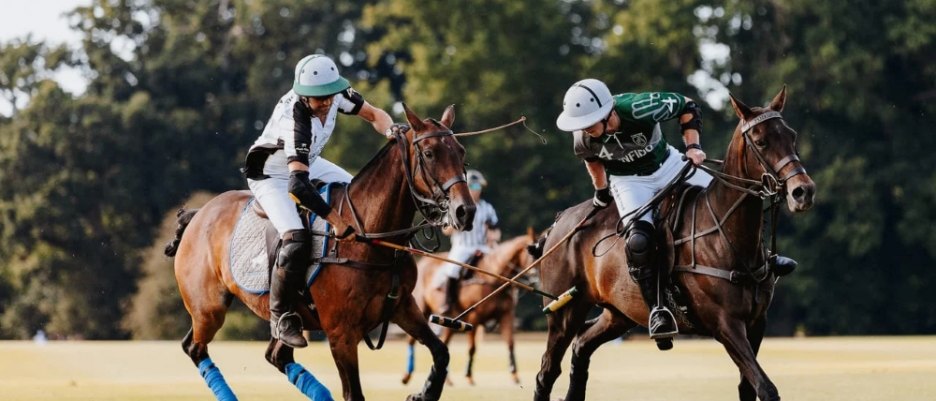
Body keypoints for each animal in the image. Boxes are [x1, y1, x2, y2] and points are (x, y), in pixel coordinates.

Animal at [165, 104, 476, 400]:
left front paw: (423, 393)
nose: (465, 211)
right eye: (430, 153)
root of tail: (198, 214)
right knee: (195, 348)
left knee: (275, 355)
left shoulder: (403, 306)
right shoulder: (341, 333)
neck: (370, 237)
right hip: (208, 308)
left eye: (461, 151)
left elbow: (441, 352)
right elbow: (354, 394)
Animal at [398, 231, 536, 384]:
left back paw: (447, 379)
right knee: (411, 340)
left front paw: (514, 375)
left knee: (445, 342)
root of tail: (422, 262)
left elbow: (510, 343)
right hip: (422, 306)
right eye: (531, 252)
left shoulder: (507, 314)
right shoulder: (474, 316)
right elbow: (472, 347)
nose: (536, 279)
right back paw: (406, 375)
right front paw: (468, 375)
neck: (494, 279)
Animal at [536, 87, 816, 400]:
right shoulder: (725, 324)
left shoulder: (756, 322)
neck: (727, 238)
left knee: (581, 345)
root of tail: (559, 222)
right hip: (564, 313)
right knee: (547, 370)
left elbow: (749, 387)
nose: (803, 191)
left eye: (791, 135)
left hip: (618, 313)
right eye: (761, 141)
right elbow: (766, 388)